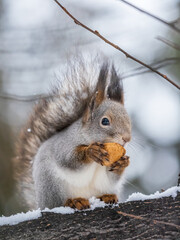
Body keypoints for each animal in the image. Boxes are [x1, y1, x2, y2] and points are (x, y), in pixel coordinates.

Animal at [12, 57, 131, 210]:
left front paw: (123, 162)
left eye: (128, 120)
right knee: (58, 202)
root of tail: (41, 204)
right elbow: (69, 160)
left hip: (103, 187)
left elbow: (113, 176)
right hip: (51, 185)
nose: (126, 138)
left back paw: (107, 197)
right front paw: (91, 152)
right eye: (105, 121)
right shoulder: (64, 144)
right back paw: (73, 201)